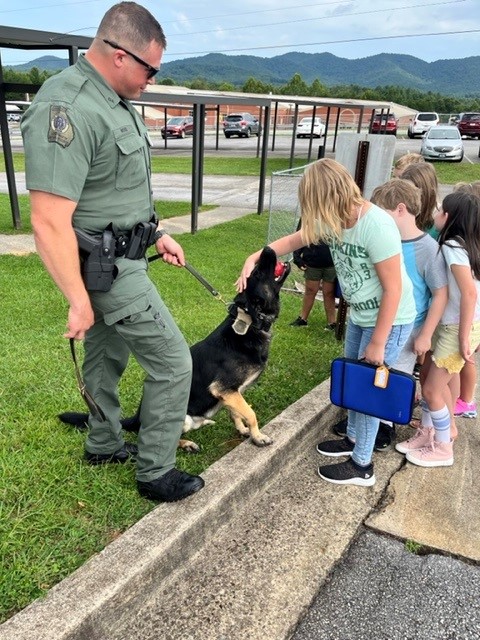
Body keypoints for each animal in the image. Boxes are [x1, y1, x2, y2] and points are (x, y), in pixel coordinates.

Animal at [60, 245, 292, 450]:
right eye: (258, 272)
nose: (267, 248)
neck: (251, 324)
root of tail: (137, 417)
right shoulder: (224, 388)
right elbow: (251, 413)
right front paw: (258, 436)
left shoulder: (231, 394)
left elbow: (238, 412)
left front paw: (243, 430)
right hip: (181, 417)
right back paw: (186, 443)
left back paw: (205, 422)